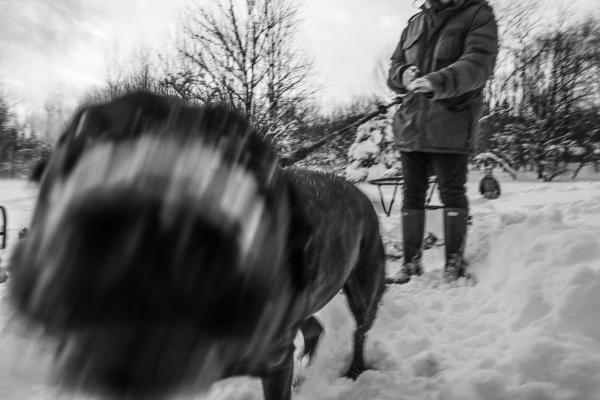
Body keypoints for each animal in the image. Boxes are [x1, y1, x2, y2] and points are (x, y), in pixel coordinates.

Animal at [9, 92, 386, 398]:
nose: (149, 222)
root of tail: (359, 192)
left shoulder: (274, 360)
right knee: (314, 326)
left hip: (363, 288)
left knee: (360, 329)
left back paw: (355, 369)